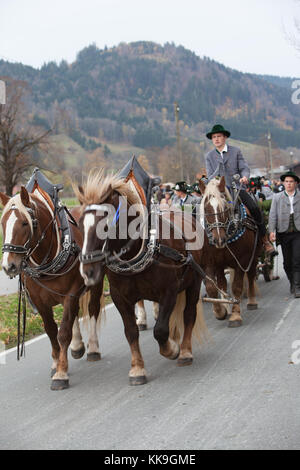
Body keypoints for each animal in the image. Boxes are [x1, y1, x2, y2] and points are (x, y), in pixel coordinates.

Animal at [0, 187, 103, 390]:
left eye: (24, 223)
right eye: (2, 223)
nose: (9, 266)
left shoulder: (70, 294)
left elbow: (63, 333)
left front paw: (61, 374)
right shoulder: (40, 301)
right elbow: (51, 330)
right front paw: (56, 363)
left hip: (96, 282)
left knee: (93, 309)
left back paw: (93, 348)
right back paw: (77, 346)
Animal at [74, 169, 209, 386]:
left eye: (105, 226)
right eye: (79, 225)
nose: (88, 271)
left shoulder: (169, 291)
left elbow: (160, 330)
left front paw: (171, 349)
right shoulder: (120, 298)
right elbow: (131, 331)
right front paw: (137, 369)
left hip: (194, 283)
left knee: (189, 314)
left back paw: (185, 351)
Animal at [198, 176, 262, 326]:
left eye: (225, 207)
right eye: (206, 208)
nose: (218, 240)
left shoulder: (242, 260)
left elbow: (237, 287)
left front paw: (235, 315)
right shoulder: (211, 262)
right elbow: (213, 287)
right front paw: (220, 311)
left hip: (253, 255)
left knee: (251, 275)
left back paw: (251, 301)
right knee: (222, 283)